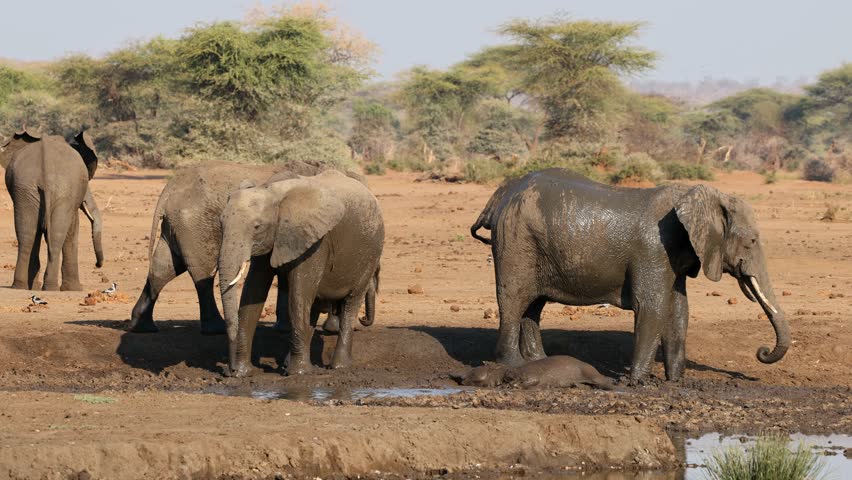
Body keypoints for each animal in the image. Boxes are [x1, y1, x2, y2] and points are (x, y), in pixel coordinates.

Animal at [1, 130, 104, 291]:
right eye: (86, 184)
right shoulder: (71, 198)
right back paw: (50, 287)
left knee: (27, 235)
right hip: (60, 189)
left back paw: (20, 286)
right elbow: (72, 231)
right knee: (56, 236)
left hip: (25, 188)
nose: (97, 265)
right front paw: (75, 289)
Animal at [129, 160, 375, 335]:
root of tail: (170, 187)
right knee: (203, 274)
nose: (364, 321)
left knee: (164, 268)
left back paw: (142, 327)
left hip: (178, 224)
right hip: (195, 225)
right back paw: (216, 329)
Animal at [218, 169, 384, 377]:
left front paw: (298, 373)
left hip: (371, 252)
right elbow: (253, 293)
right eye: (221, 224)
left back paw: (338, 366)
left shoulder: (315, 241)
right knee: (312, 306)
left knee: (350, 304)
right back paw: (290, 363)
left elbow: (298, 295)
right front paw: (242, 373)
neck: (274, 192)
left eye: (257, 227)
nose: (228, 370)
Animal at [471, 168, 789, 383]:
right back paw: (513, 365)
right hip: (516, 242)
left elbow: (678, 310)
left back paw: (539, 362)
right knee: (514, 300)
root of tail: (500, 196)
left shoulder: (674, 254)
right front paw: (637, 382)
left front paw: (675, 382)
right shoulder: (654, 248)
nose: (761, 352)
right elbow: (652, 307)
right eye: (751, 241)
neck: (697, 196)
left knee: (533, 306)